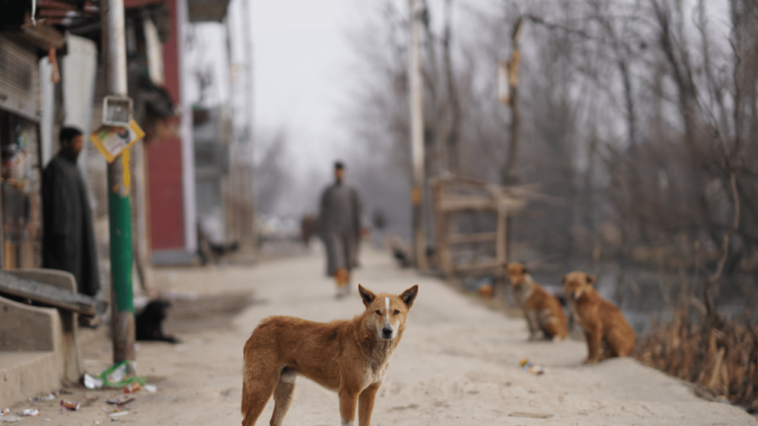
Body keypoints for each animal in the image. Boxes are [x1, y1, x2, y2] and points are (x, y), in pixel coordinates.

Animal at [242, 282, 418, 426]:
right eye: (378, 312)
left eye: (396, 312)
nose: (387, 331)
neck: (366, 343)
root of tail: (259, 328)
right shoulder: (348, 394)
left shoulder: (369, 394)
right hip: (262, 388)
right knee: (247, 421)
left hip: (286, 391)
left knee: (274, 420)